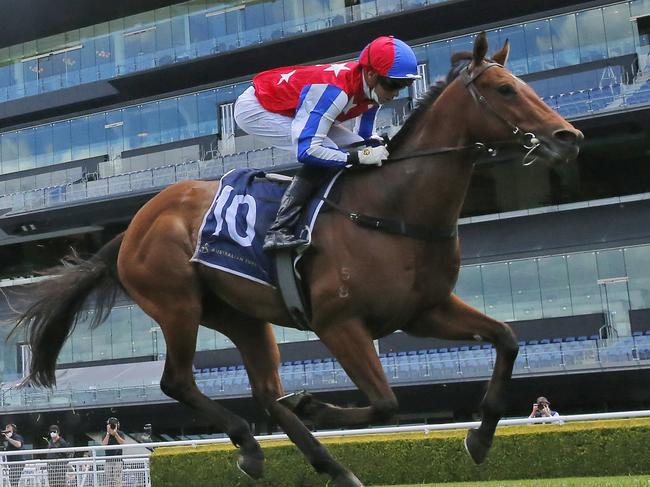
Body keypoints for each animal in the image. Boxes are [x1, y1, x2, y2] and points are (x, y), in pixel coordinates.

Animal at [15, 32, 580, 486]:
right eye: (506, 90)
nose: (567, 137)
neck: (392, 208)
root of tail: (132, 226)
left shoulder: (424, 311)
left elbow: (507, 340)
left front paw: (479, 439)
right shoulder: (339, 322)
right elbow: (385, 403)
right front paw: (313, 403)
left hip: (242, 316)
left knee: (266, 393)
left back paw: (321, 463)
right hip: (177, 304)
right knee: (177, 381)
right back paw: (253, 442)